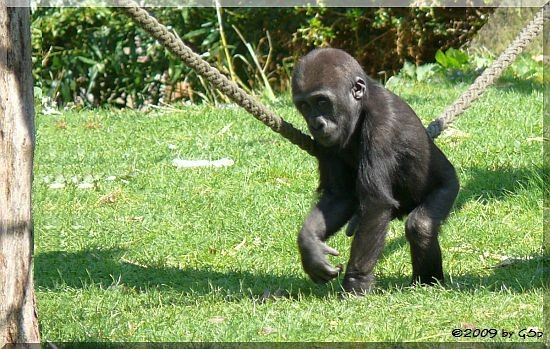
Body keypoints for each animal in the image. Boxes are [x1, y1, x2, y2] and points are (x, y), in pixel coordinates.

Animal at [294, 48, 462, 294]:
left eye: (322, 102)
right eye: (305, 106)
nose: (316, 124)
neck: (361, 107)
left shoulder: (383, 126)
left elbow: (375, 204)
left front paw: (356, 282)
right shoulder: (325, 141)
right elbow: (339, 196)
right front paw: (310, 244)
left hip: (450, 185)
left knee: (421, 226)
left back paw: (428, 282)